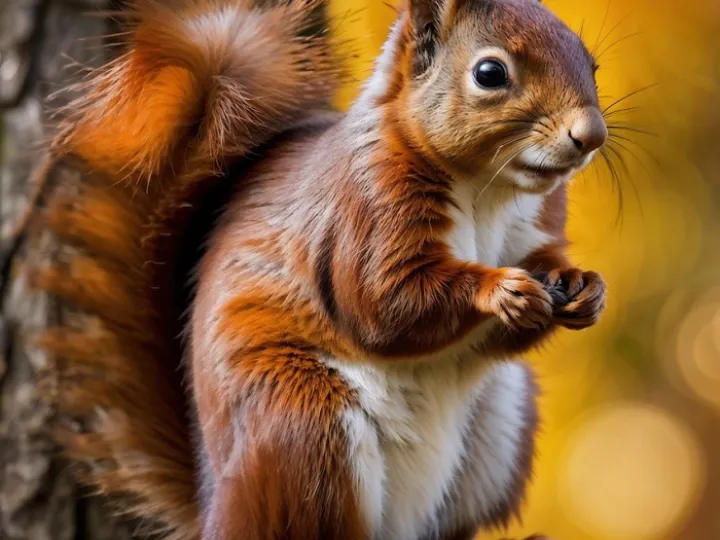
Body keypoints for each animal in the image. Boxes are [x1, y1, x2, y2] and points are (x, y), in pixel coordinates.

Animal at [25, 0, 608, 538]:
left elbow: (536, 276)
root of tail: (217, 510)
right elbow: (385, 302)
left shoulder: (537, 226)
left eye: (592, 65)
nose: (592, 135)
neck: (489, 190)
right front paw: (501, 290)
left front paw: (584, 287)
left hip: (497, 426)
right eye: (490, 73)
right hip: (303, 428)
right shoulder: (365, 208)